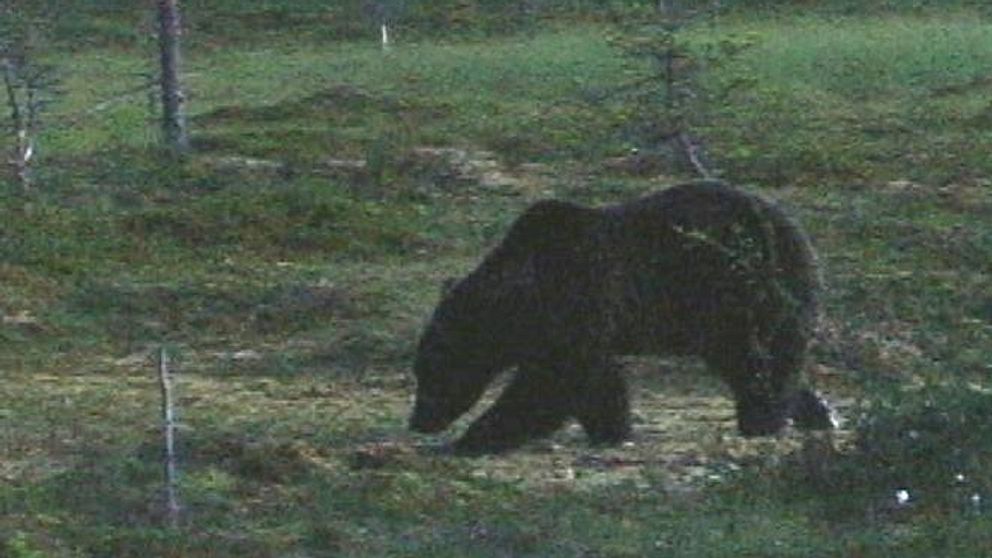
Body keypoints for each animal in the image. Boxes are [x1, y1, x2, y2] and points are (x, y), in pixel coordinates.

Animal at [406, 182, 832, 458]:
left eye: (432, 370)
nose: (418, 420)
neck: (525, 295)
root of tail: (786, 225)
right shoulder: (573, 323)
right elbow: (597, 380)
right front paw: (611, 428)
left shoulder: (577, 296)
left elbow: (552, 382)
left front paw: (472, 438)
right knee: (769, 357)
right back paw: (816, 413)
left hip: (739, 290)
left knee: (753, 359)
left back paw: (762, 419)